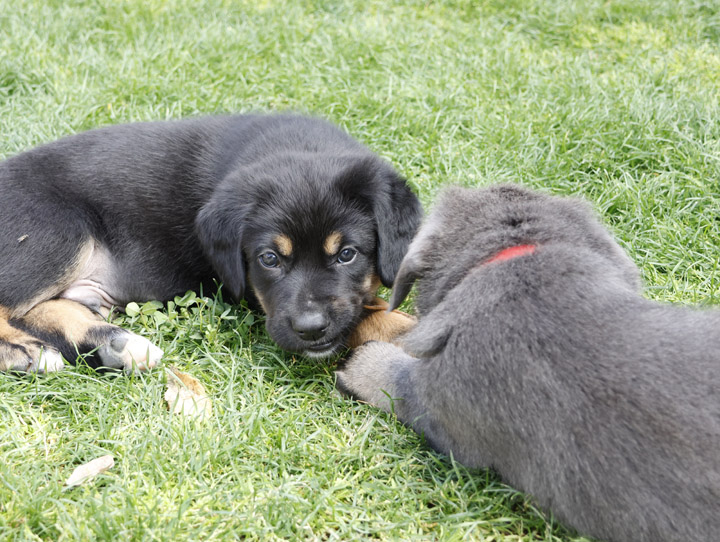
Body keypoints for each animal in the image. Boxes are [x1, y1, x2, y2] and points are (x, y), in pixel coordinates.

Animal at [0, 115, 422, 374]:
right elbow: (369, 316)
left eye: (347, 254)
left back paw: (114, 345)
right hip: (57, 232)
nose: (310, 329)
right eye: (269, 259)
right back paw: (24, 353)